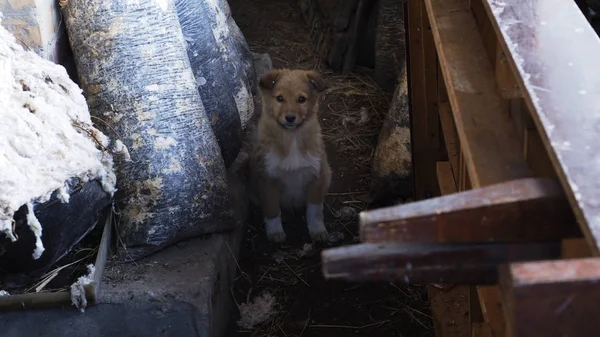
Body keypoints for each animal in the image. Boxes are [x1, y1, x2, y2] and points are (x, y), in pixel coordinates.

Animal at [250, 68, 332, 242]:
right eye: (279, 98)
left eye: (301, 99)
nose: (290, 118)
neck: (292, 137)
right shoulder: (267, 179)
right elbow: (272, 209)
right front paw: (275, 232)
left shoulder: (317, 176)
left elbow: (315, 210)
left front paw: (317, 230)